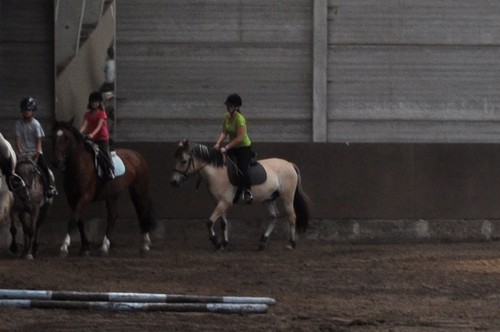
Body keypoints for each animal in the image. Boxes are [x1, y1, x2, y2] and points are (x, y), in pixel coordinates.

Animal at [51, 122, 155, 256]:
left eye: (66, 138)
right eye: (53, 137)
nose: (55, 161)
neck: (79, 165)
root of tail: (137, 155)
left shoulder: (85, 196)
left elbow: (73, 219)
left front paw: (64, 247)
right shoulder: (72, 199)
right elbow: (78, 221)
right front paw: (84, 248)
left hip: (139, 191)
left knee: (142, 212)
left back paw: (144, 245)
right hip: (113, 194)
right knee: (113, 216)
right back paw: (105, 246)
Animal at [170, 139, 308, 250]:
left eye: (183, 161)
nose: (173, 181)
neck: (217, 172)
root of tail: (289, 164)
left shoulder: (224, 202)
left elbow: (210, 222)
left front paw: (216, 242)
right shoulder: (220, 202)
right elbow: (223, 223)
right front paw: (224, 243)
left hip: (287, 196)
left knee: (291, 217)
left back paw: (291, 244)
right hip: (269, 198)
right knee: (274, 216)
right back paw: (263, 242)